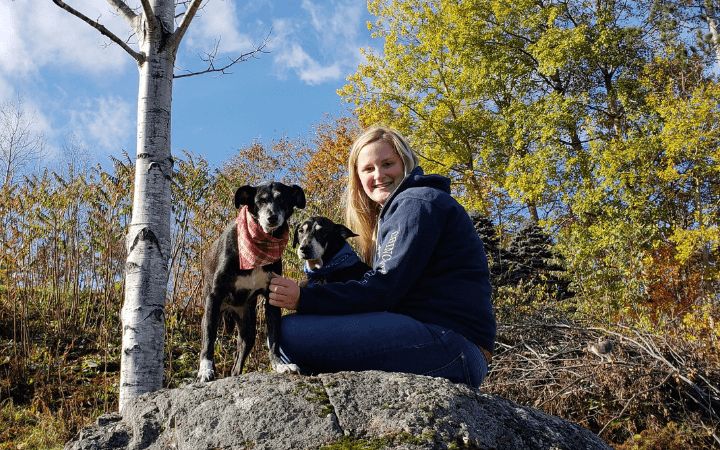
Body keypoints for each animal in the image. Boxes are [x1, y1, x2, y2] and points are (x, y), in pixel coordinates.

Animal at [198, 181, 306, 382]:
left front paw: (279, 365)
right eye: (260, 201)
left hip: (248, 329)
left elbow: (274, 338)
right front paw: (205, 370)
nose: (272, 218)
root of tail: (231, 308)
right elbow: (208, 339)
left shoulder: (272, 298)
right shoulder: (214, 296)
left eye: (282, 199)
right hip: (212, 312)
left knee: (238, 362)